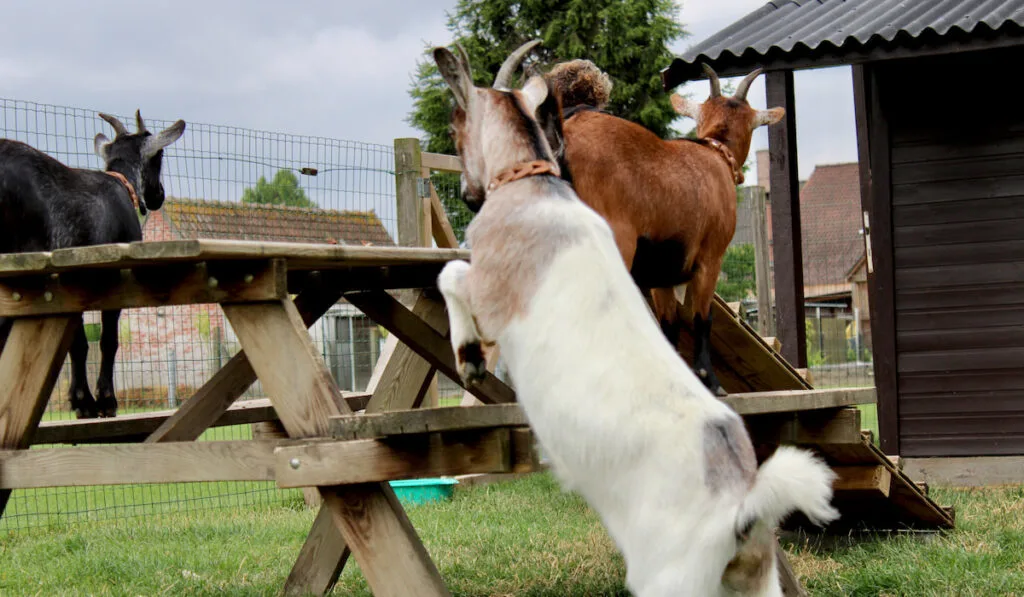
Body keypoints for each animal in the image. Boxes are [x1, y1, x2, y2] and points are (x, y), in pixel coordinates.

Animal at [0, 113, 186, 419]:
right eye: (159, 156)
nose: (159, 195)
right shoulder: (116, 278)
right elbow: (107, 340)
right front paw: (103, 400)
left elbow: (76, 344)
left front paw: (81, 400)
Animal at [428, 43, 835, 597]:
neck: (710, 154)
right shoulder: (707, 261)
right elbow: (699, 319)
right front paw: (710, 379)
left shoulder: (660, 276)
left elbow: (666, 326)